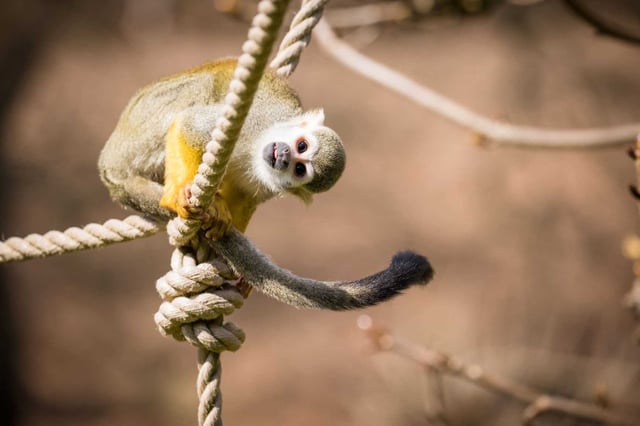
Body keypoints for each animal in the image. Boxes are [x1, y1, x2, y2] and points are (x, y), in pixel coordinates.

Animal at [98, 57, 433, 310]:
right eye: (301, 146)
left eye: (300, 169)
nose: (282, 154)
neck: (255, 147)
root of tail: (109, 166)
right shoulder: (255, 120)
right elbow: (190, 124)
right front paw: (180, 194)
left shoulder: (269, 185)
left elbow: (245, 198)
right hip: (138, 131)